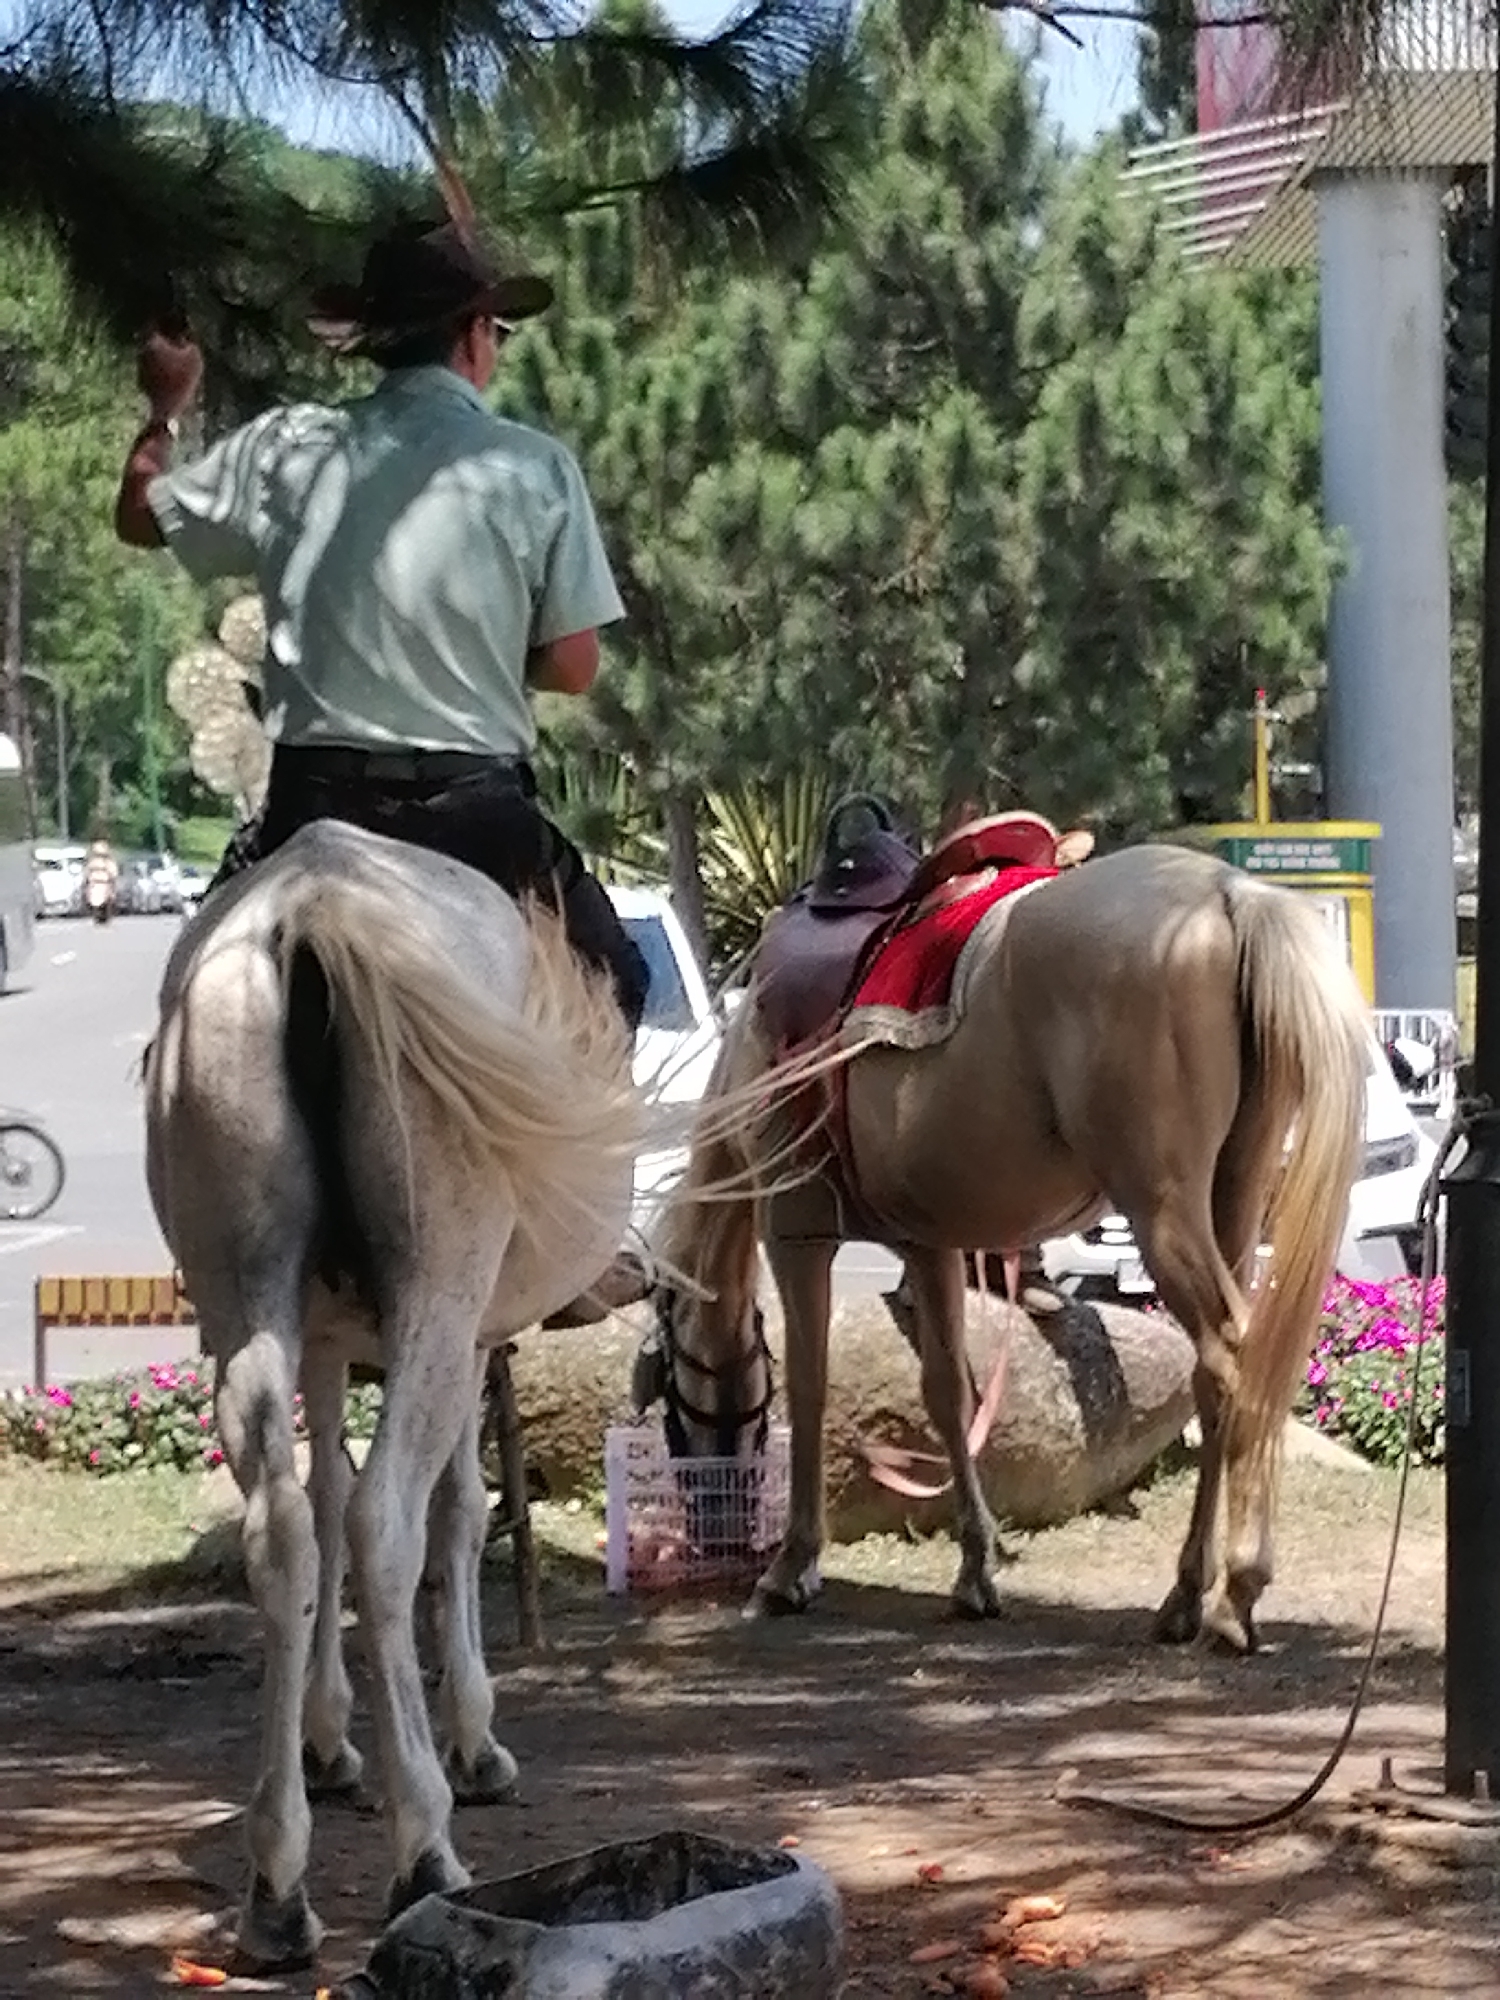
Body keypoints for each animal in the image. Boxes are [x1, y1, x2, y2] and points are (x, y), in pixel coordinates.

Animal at [144, 819, 644, 1968]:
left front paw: (329, 1736)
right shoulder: (474, 1335)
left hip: (247, 1300)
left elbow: (321, 1498)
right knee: (386, 1522)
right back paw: (426, 1841)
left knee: (285, 1530)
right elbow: (458, 1511)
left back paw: (278, 1883)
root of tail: (314, 907)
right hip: (439, 1299)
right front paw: (474, 1736)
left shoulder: (326, 1342)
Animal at [641, 841, 1371, 1653]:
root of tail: (1226, 892)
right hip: (1234, 1196)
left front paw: (791, 1569)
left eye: (666, 1384)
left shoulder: (796, 1232)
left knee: (1234, 1358)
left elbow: (810, 1387)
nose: (711, 1524)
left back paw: (1236, 1595)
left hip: (1163, 1210)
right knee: (1221, 1381)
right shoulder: (928, 1245)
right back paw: (1186, 1594)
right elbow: (948, 1394)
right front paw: (974, 1571)